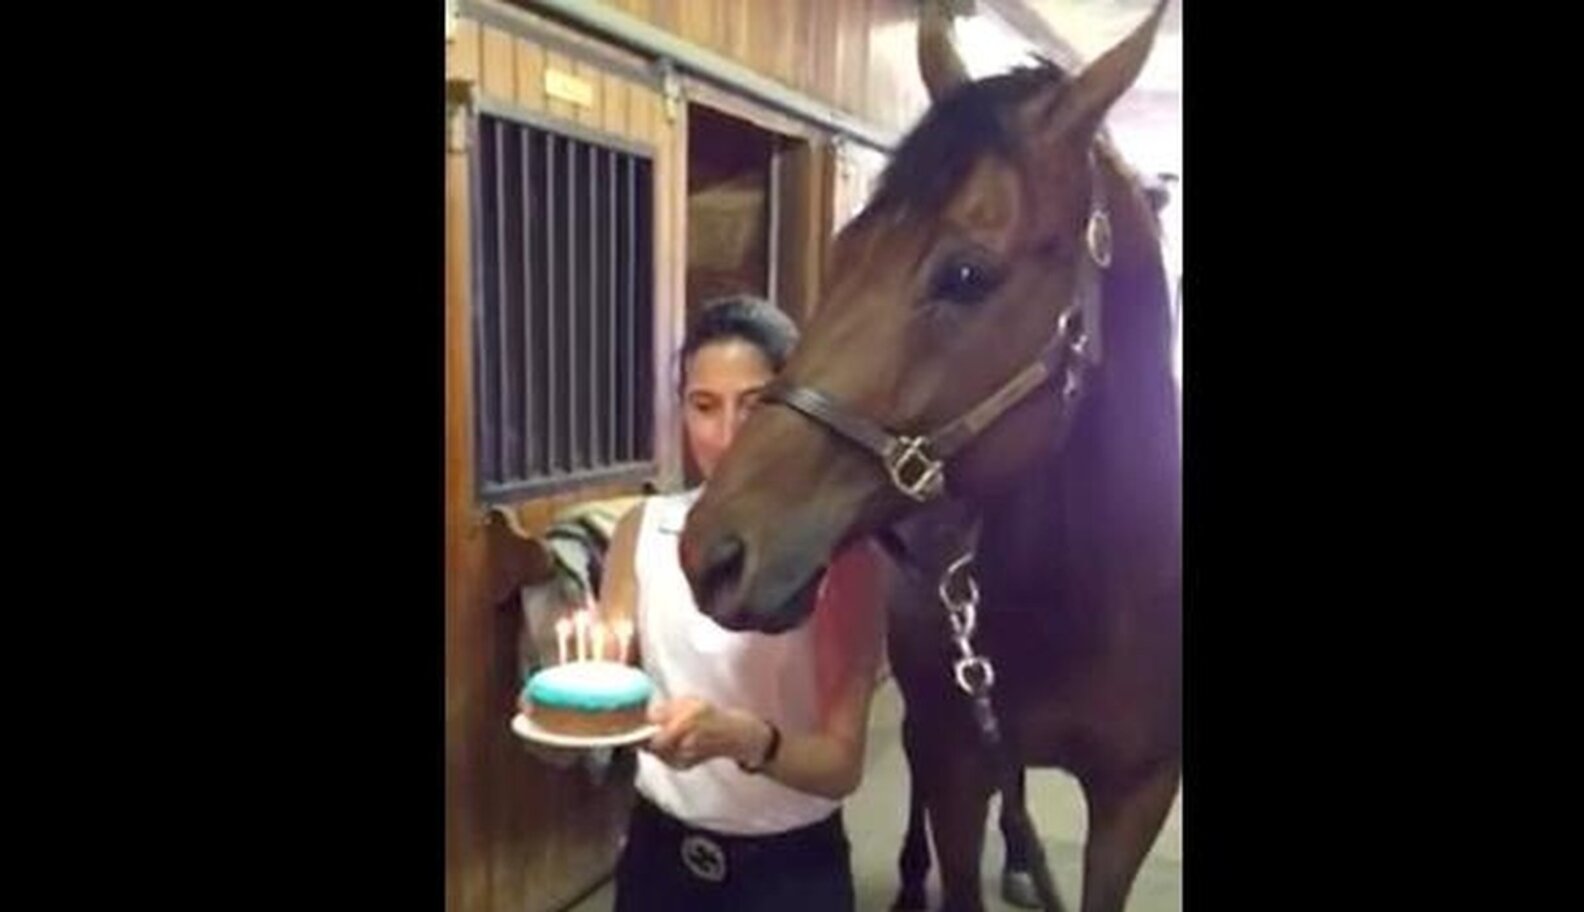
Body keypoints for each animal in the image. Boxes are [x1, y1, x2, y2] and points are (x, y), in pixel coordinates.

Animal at [677, 1, 1181, 909]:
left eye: (967, 274)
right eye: (845, 251)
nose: (713, 552)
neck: (1086, 594)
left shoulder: (1140, 793)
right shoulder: (959, 766)